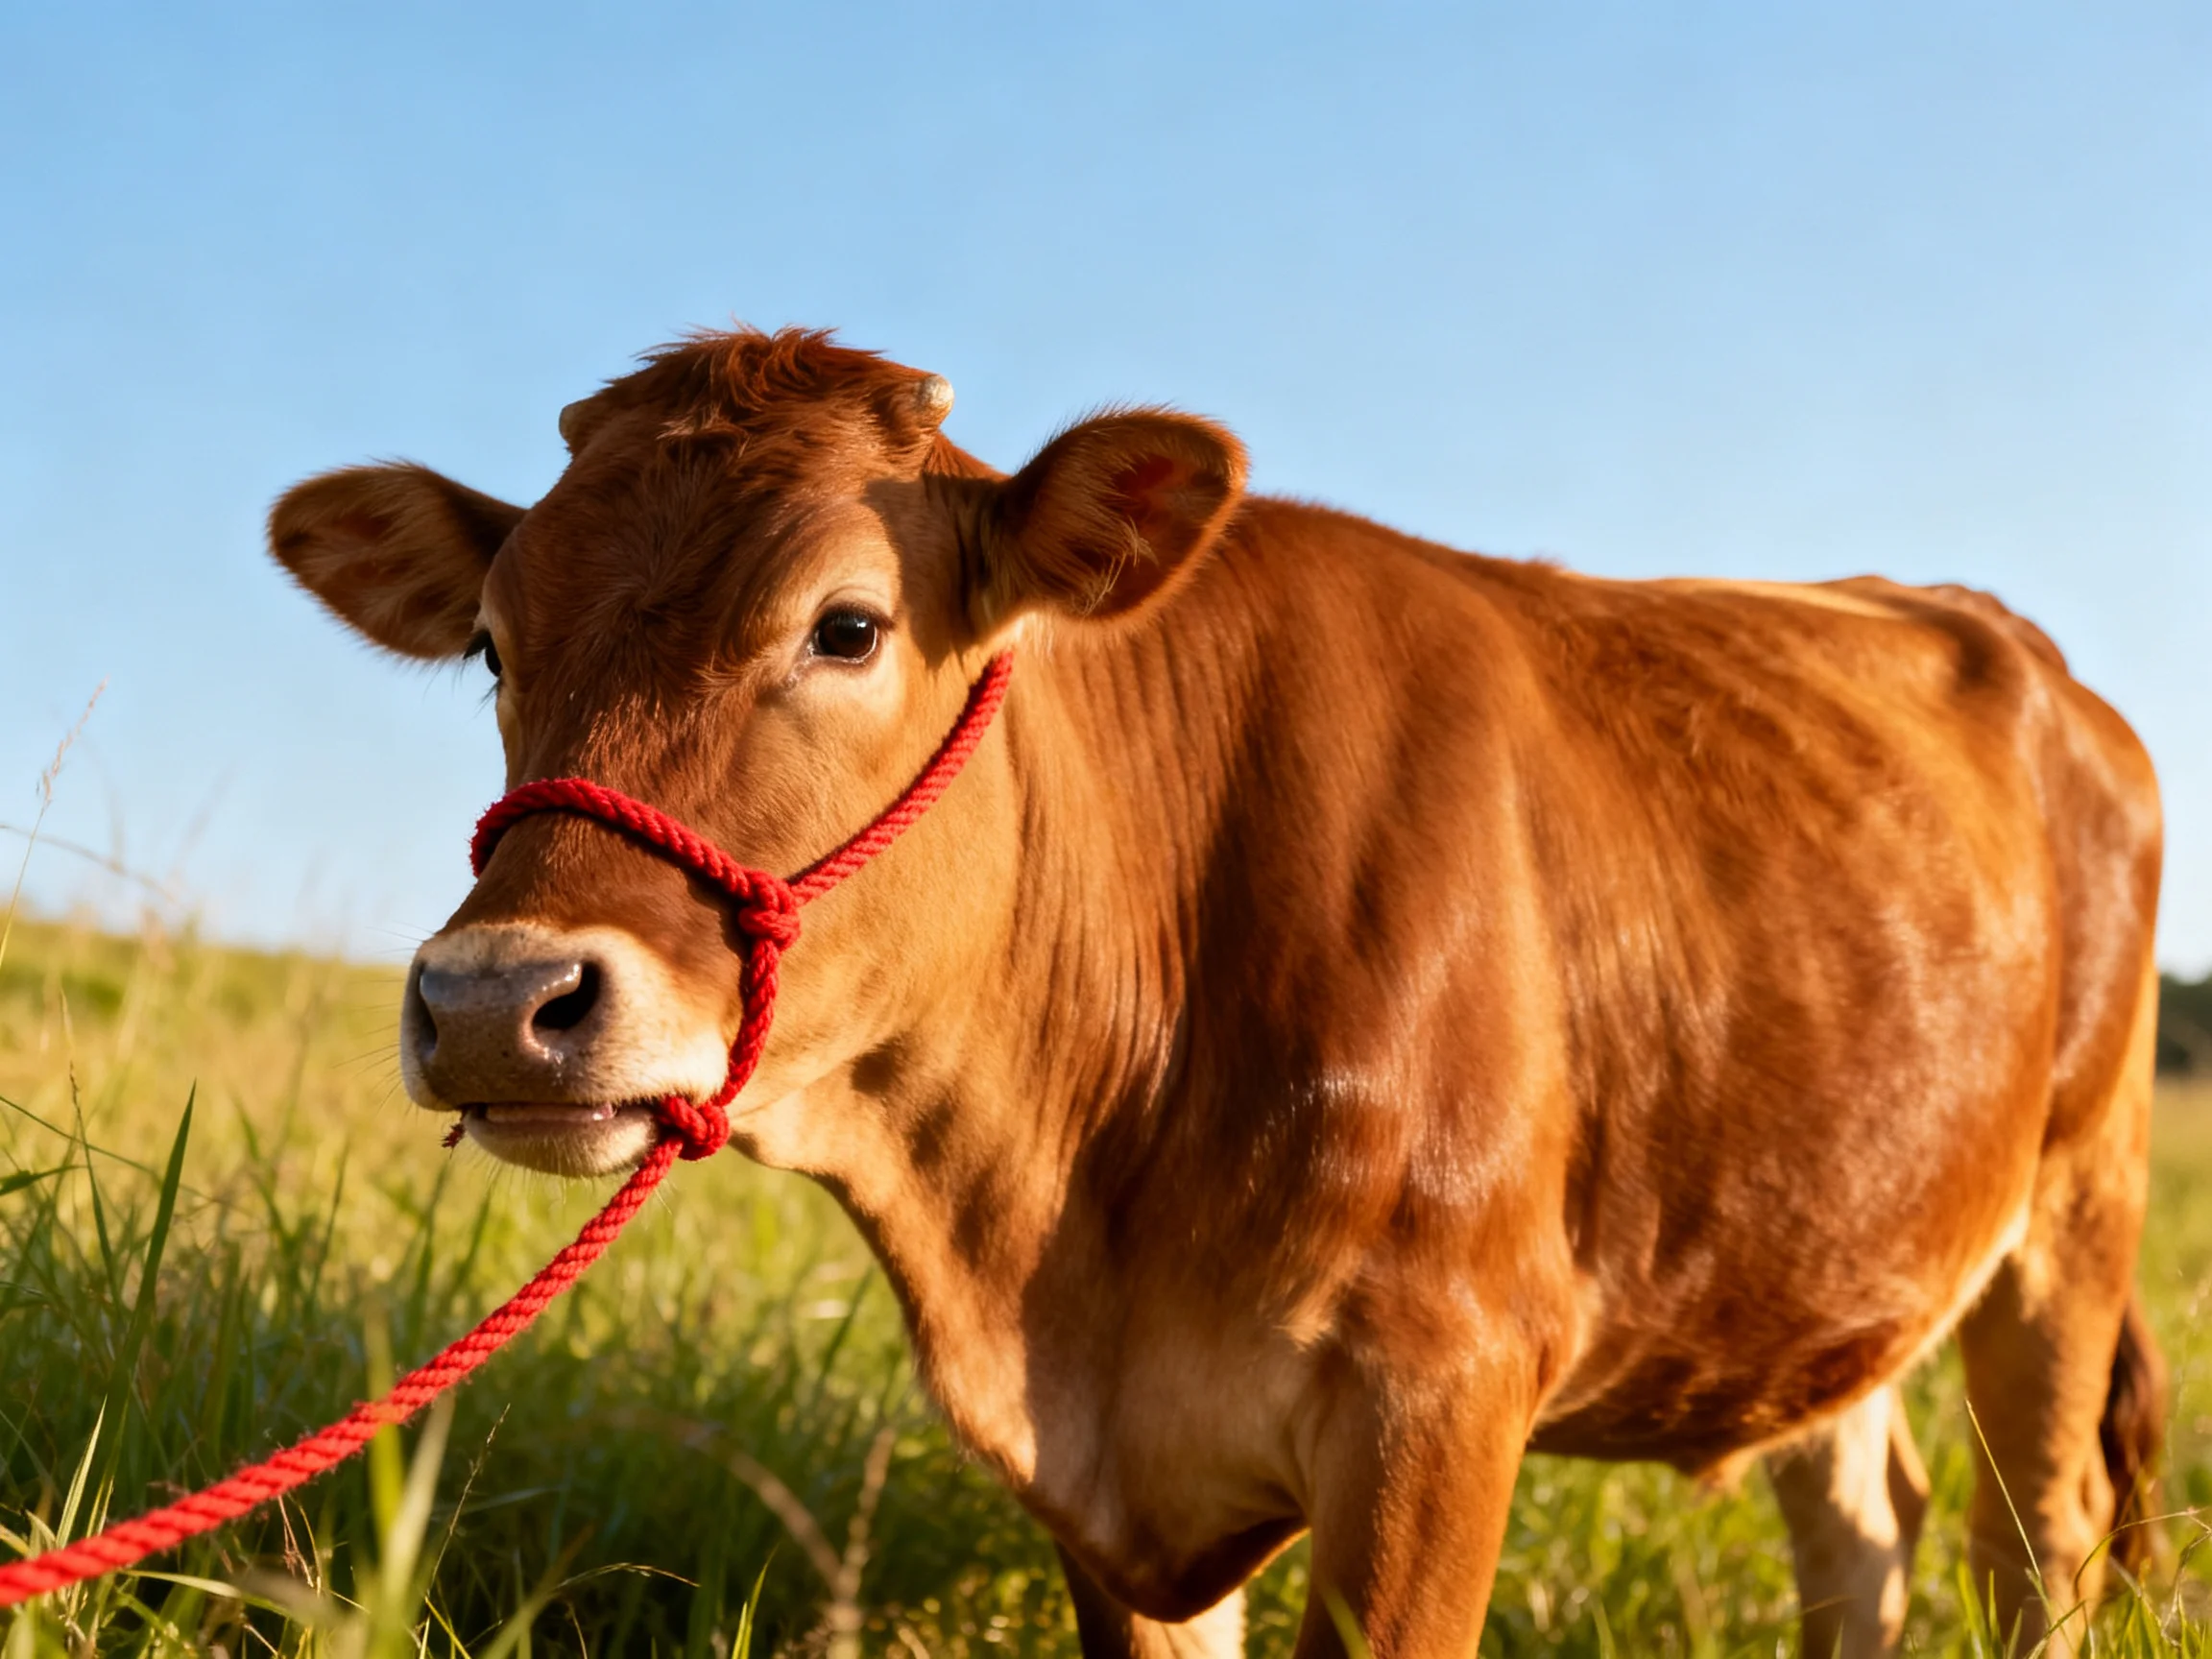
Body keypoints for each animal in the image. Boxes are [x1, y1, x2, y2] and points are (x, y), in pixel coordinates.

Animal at [268, 327, 2166, 1658]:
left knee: (2036, 1531)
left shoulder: (1440, 1398)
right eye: (496, 645)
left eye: (846, 625)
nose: (497, 997)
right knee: (1864, 1530)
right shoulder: (1116, 1489)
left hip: (2072, 1215)